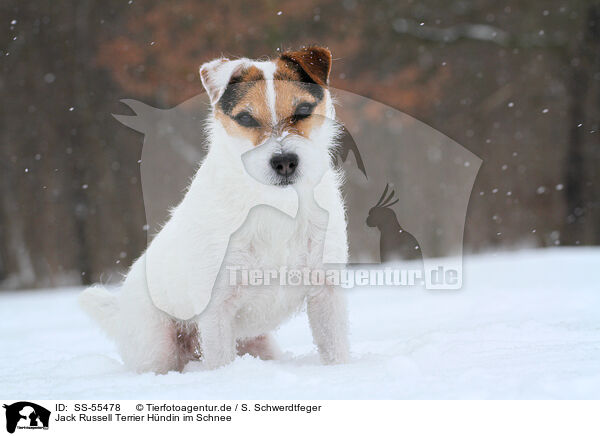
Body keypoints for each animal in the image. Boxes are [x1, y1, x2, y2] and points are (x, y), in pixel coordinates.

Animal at [79, 46, 352, 372]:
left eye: (302, 111)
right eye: (246, 117)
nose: (284, 162)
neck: (276, 204)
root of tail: (120, 310)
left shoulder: (326, 291)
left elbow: (336, 348)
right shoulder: (216, 308)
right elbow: (220, 360)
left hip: (261, 345)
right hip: (158, 348)